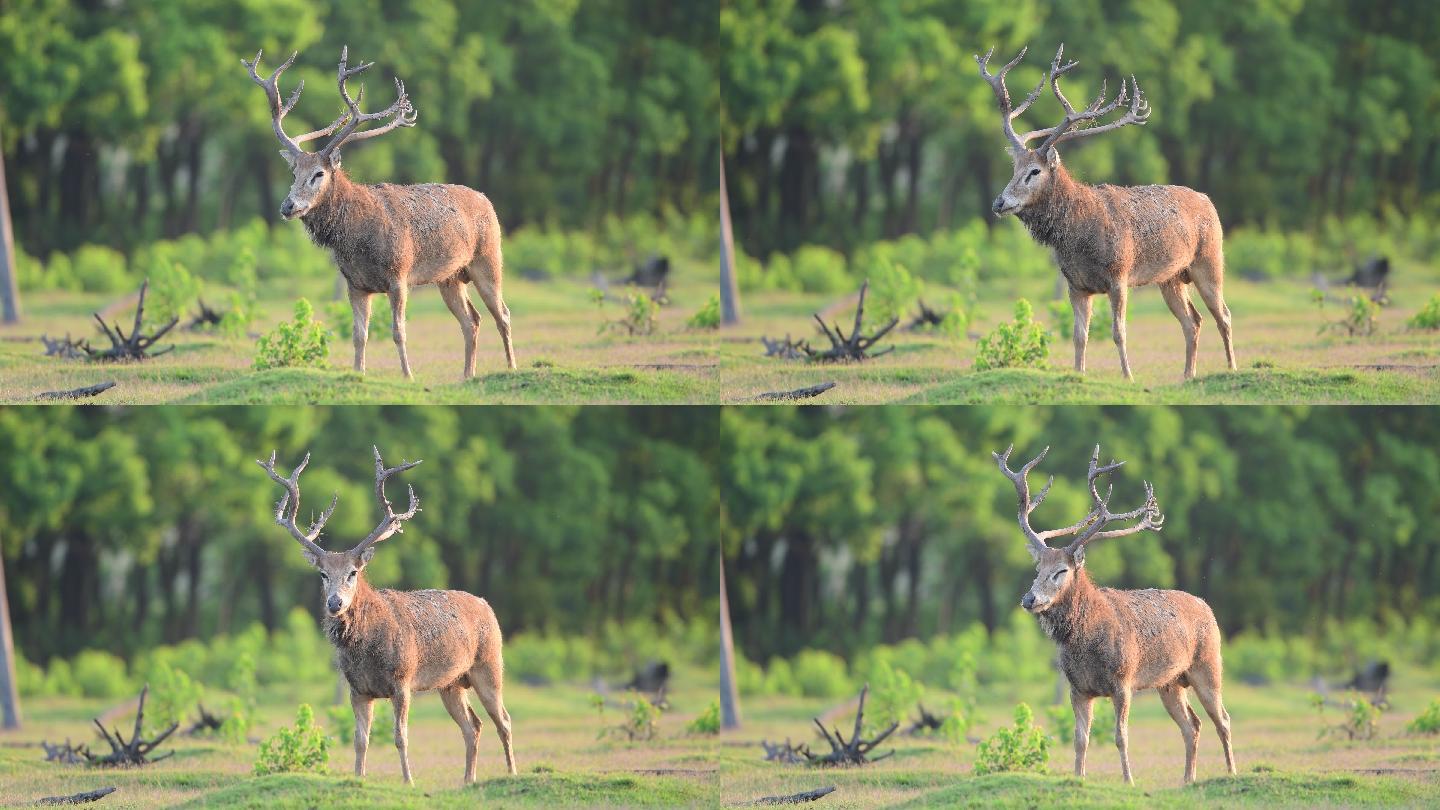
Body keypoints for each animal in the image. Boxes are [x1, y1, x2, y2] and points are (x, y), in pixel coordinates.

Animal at [243, 47, 518, 377]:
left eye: (319, 174)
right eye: (294, 172)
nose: (288, 206)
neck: (357, 240)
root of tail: (487, 201)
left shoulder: (398, 276)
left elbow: (398, 331)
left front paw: (408, 376)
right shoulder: (355, 284)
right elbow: (358, 334)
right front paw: (357, 374)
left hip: (488, 259)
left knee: (503, 314)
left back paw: (511, 368)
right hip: (450, 277)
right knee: (472, 320)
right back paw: (467, 376)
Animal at [259, 443, 518, 784]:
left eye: (353, 572)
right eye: (323, 574)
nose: (335, 603)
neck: (367, 651)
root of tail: (487, 605)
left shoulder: (402, 681)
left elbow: (400, 736)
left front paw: (408, 781)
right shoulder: (357, 689)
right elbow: (360, 739)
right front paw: (358, 779)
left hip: (489, 665)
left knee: (504, 719)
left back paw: (512, 773)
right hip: (450, 683)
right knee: (473, 726)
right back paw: (467, 780)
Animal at [979, 45, 1238, 380]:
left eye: (1034, 171)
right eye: (1014, 169)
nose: (1000, 202)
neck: (1078, 237)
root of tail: (1208, 201)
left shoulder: (1119, 276)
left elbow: (1118, 332)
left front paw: (1128, 377)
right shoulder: (1075, 285)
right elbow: (1079, 335)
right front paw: (1078, 375)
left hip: (1210, 260)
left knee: (1224, 315)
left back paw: (1231, 368)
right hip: (1170, 277)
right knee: (1192, 321)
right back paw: (1187, 376)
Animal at [990, 441, 1238, 784]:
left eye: (1061, 571)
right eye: (1038, 569)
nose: (1030, 599)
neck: (1086, 643)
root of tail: (1207, 607)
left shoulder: (1123, 682)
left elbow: (1120, 735)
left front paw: (1128, 780)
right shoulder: (1077, 688)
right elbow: (1081, 738)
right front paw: (1078, 779)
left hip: (1208, 666)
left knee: (1223, 719)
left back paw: (1231, 772)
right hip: (1170, 683)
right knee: (1193, 725)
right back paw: (1188, 779)